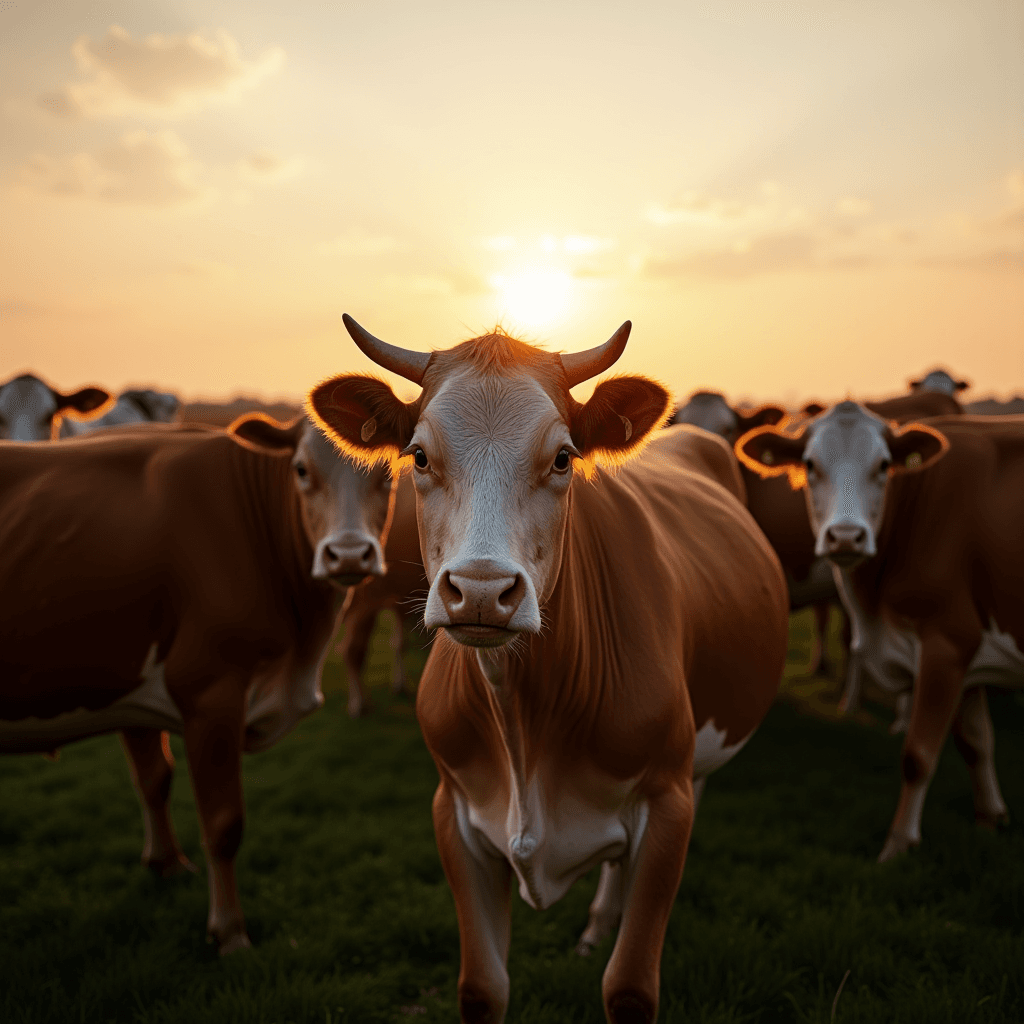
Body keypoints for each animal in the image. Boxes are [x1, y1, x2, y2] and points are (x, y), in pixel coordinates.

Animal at [0, 411, 397, 946]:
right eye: (301, 470)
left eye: (390, 472)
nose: (350, 555)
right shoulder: (211, 693)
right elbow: (223, 824)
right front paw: (229, 931)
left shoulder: (134, 681)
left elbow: (153, 778)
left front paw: (165, 864)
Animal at [307, 315, 786, 1024]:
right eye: (418, 456)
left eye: (562, 458)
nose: (481, 591)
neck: (524, 724)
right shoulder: (456, 814)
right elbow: (482, 987)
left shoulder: (667, 806)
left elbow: (630, 987)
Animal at [741, 403, 1024, 860]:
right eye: (810, 464)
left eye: (884, 465)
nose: (845, 537)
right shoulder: (970, 654)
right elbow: (977, 741)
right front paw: (990, 819)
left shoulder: (947, 643)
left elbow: (918, 755)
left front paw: (898, 845)